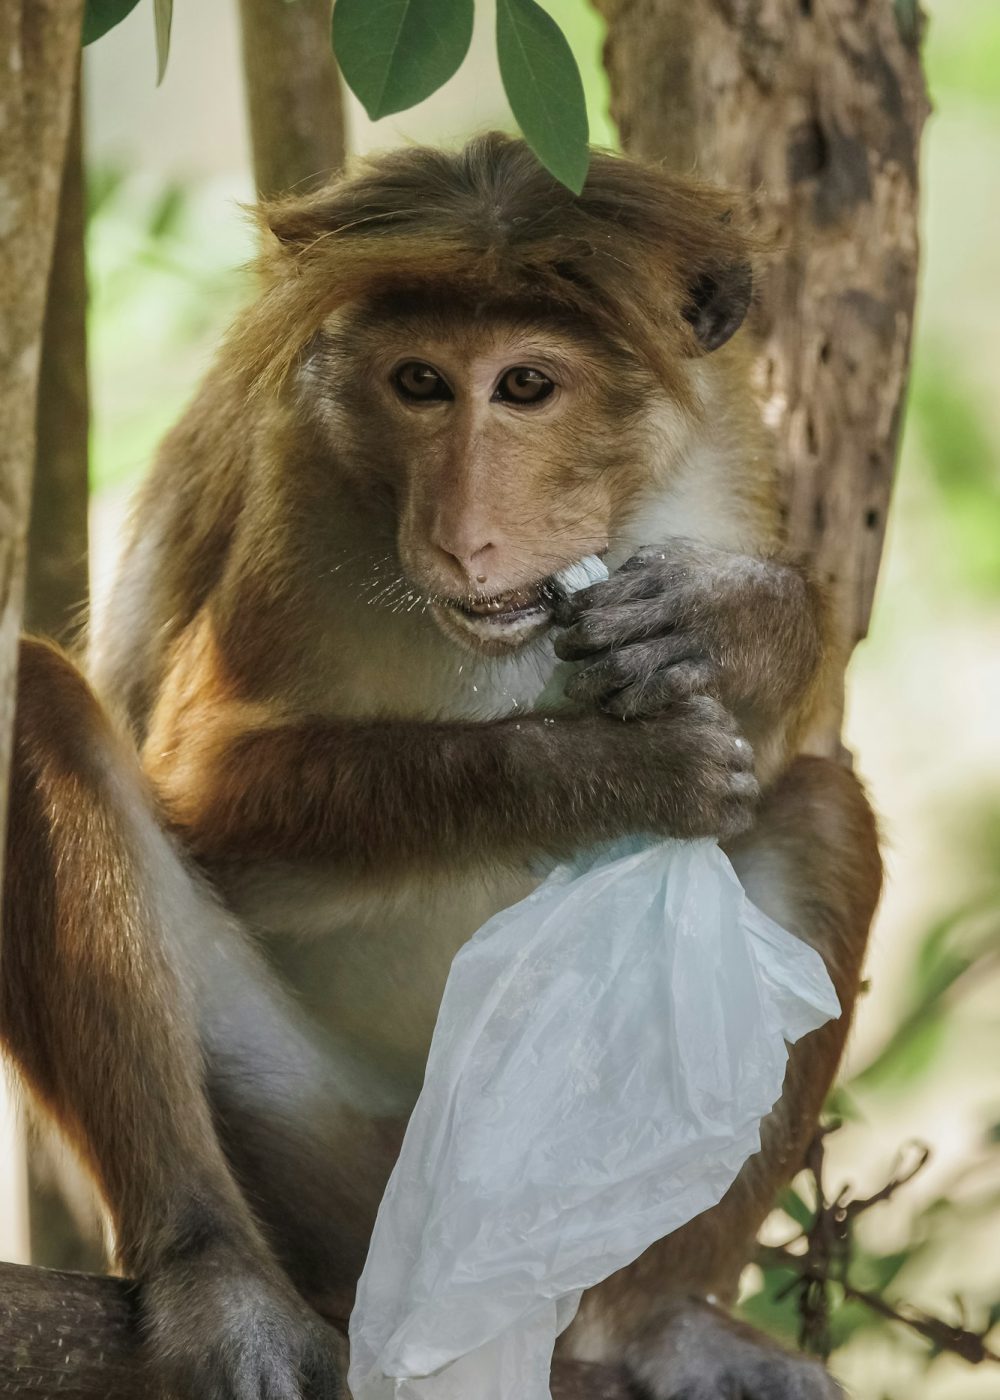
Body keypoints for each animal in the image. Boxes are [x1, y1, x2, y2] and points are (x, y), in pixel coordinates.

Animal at [3, 133, 879, 1400]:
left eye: (525, 386)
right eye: (419, 383)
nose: (465, 535)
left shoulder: (728, 448)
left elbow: (787, 744)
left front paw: (733, 620)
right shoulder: (294, 487)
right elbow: (205, 783)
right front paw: (609, 772)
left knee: (822, 808)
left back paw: (655, 1316)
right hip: (315, 1145)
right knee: (39, 707)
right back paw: (215, 1273)